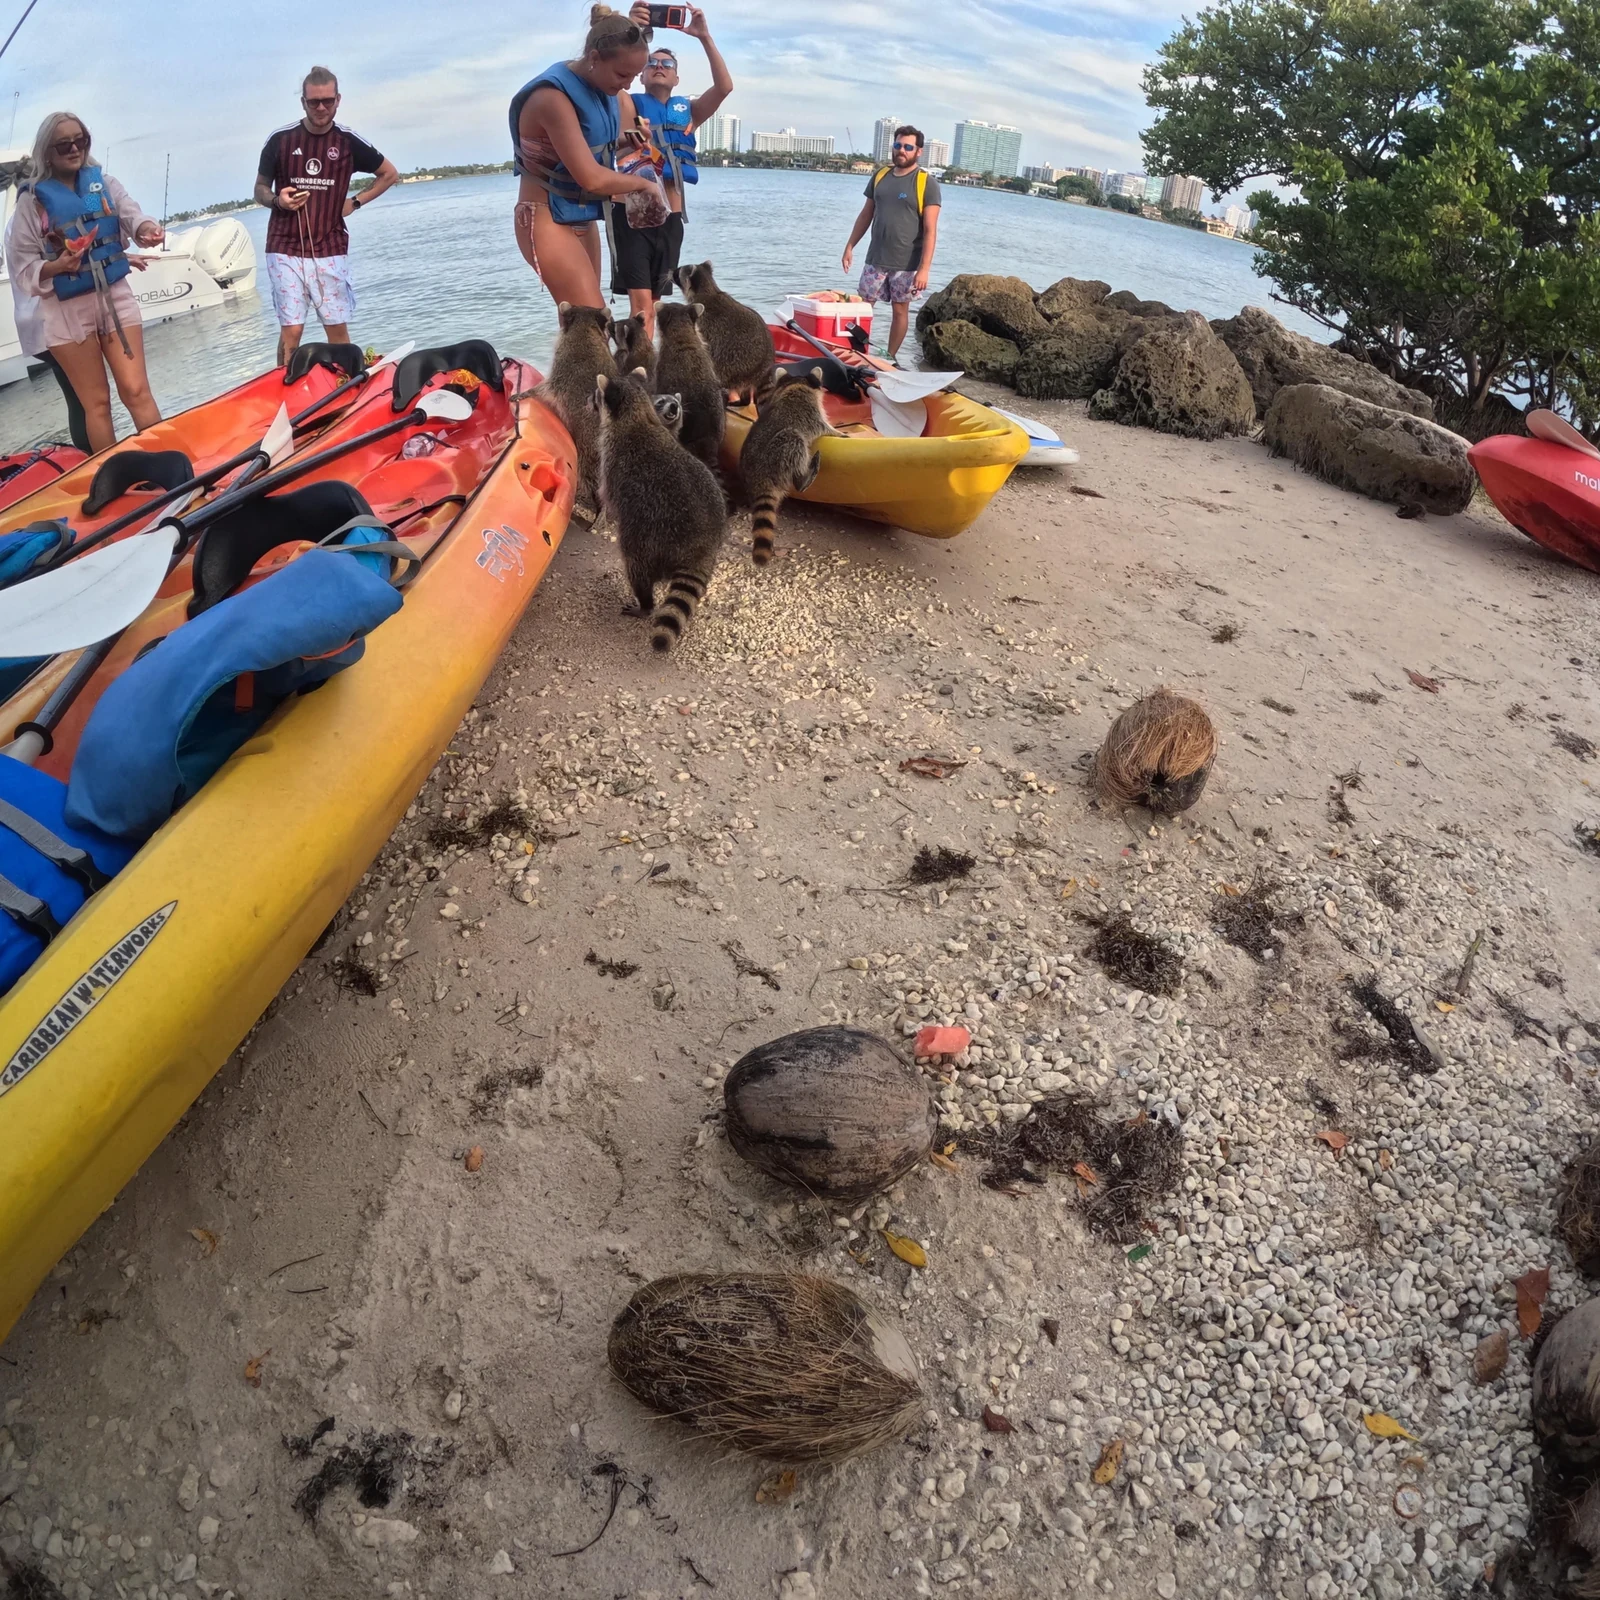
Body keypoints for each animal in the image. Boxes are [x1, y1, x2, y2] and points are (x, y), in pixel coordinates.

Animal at [594, 369, 726, 652]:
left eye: (599, 394)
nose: (592, 399)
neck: (637, 414)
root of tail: (702, 545)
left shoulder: (611, 462)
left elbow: (609, 498)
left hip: (649, 539)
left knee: (637, 567)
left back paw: (645, 605)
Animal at [675, 261, 775, 403]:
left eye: (677, 272)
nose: (670, 272)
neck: (707, 288)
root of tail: (764, 369)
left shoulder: (702, 319)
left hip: (736, 363)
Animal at [738, 367, 839, 566]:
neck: (795, 384)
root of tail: (757, 477)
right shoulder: (810, 412)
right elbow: (823, 428)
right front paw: (839, 433)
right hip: (778, 453)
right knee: (794, 438)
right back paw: (802, 479)